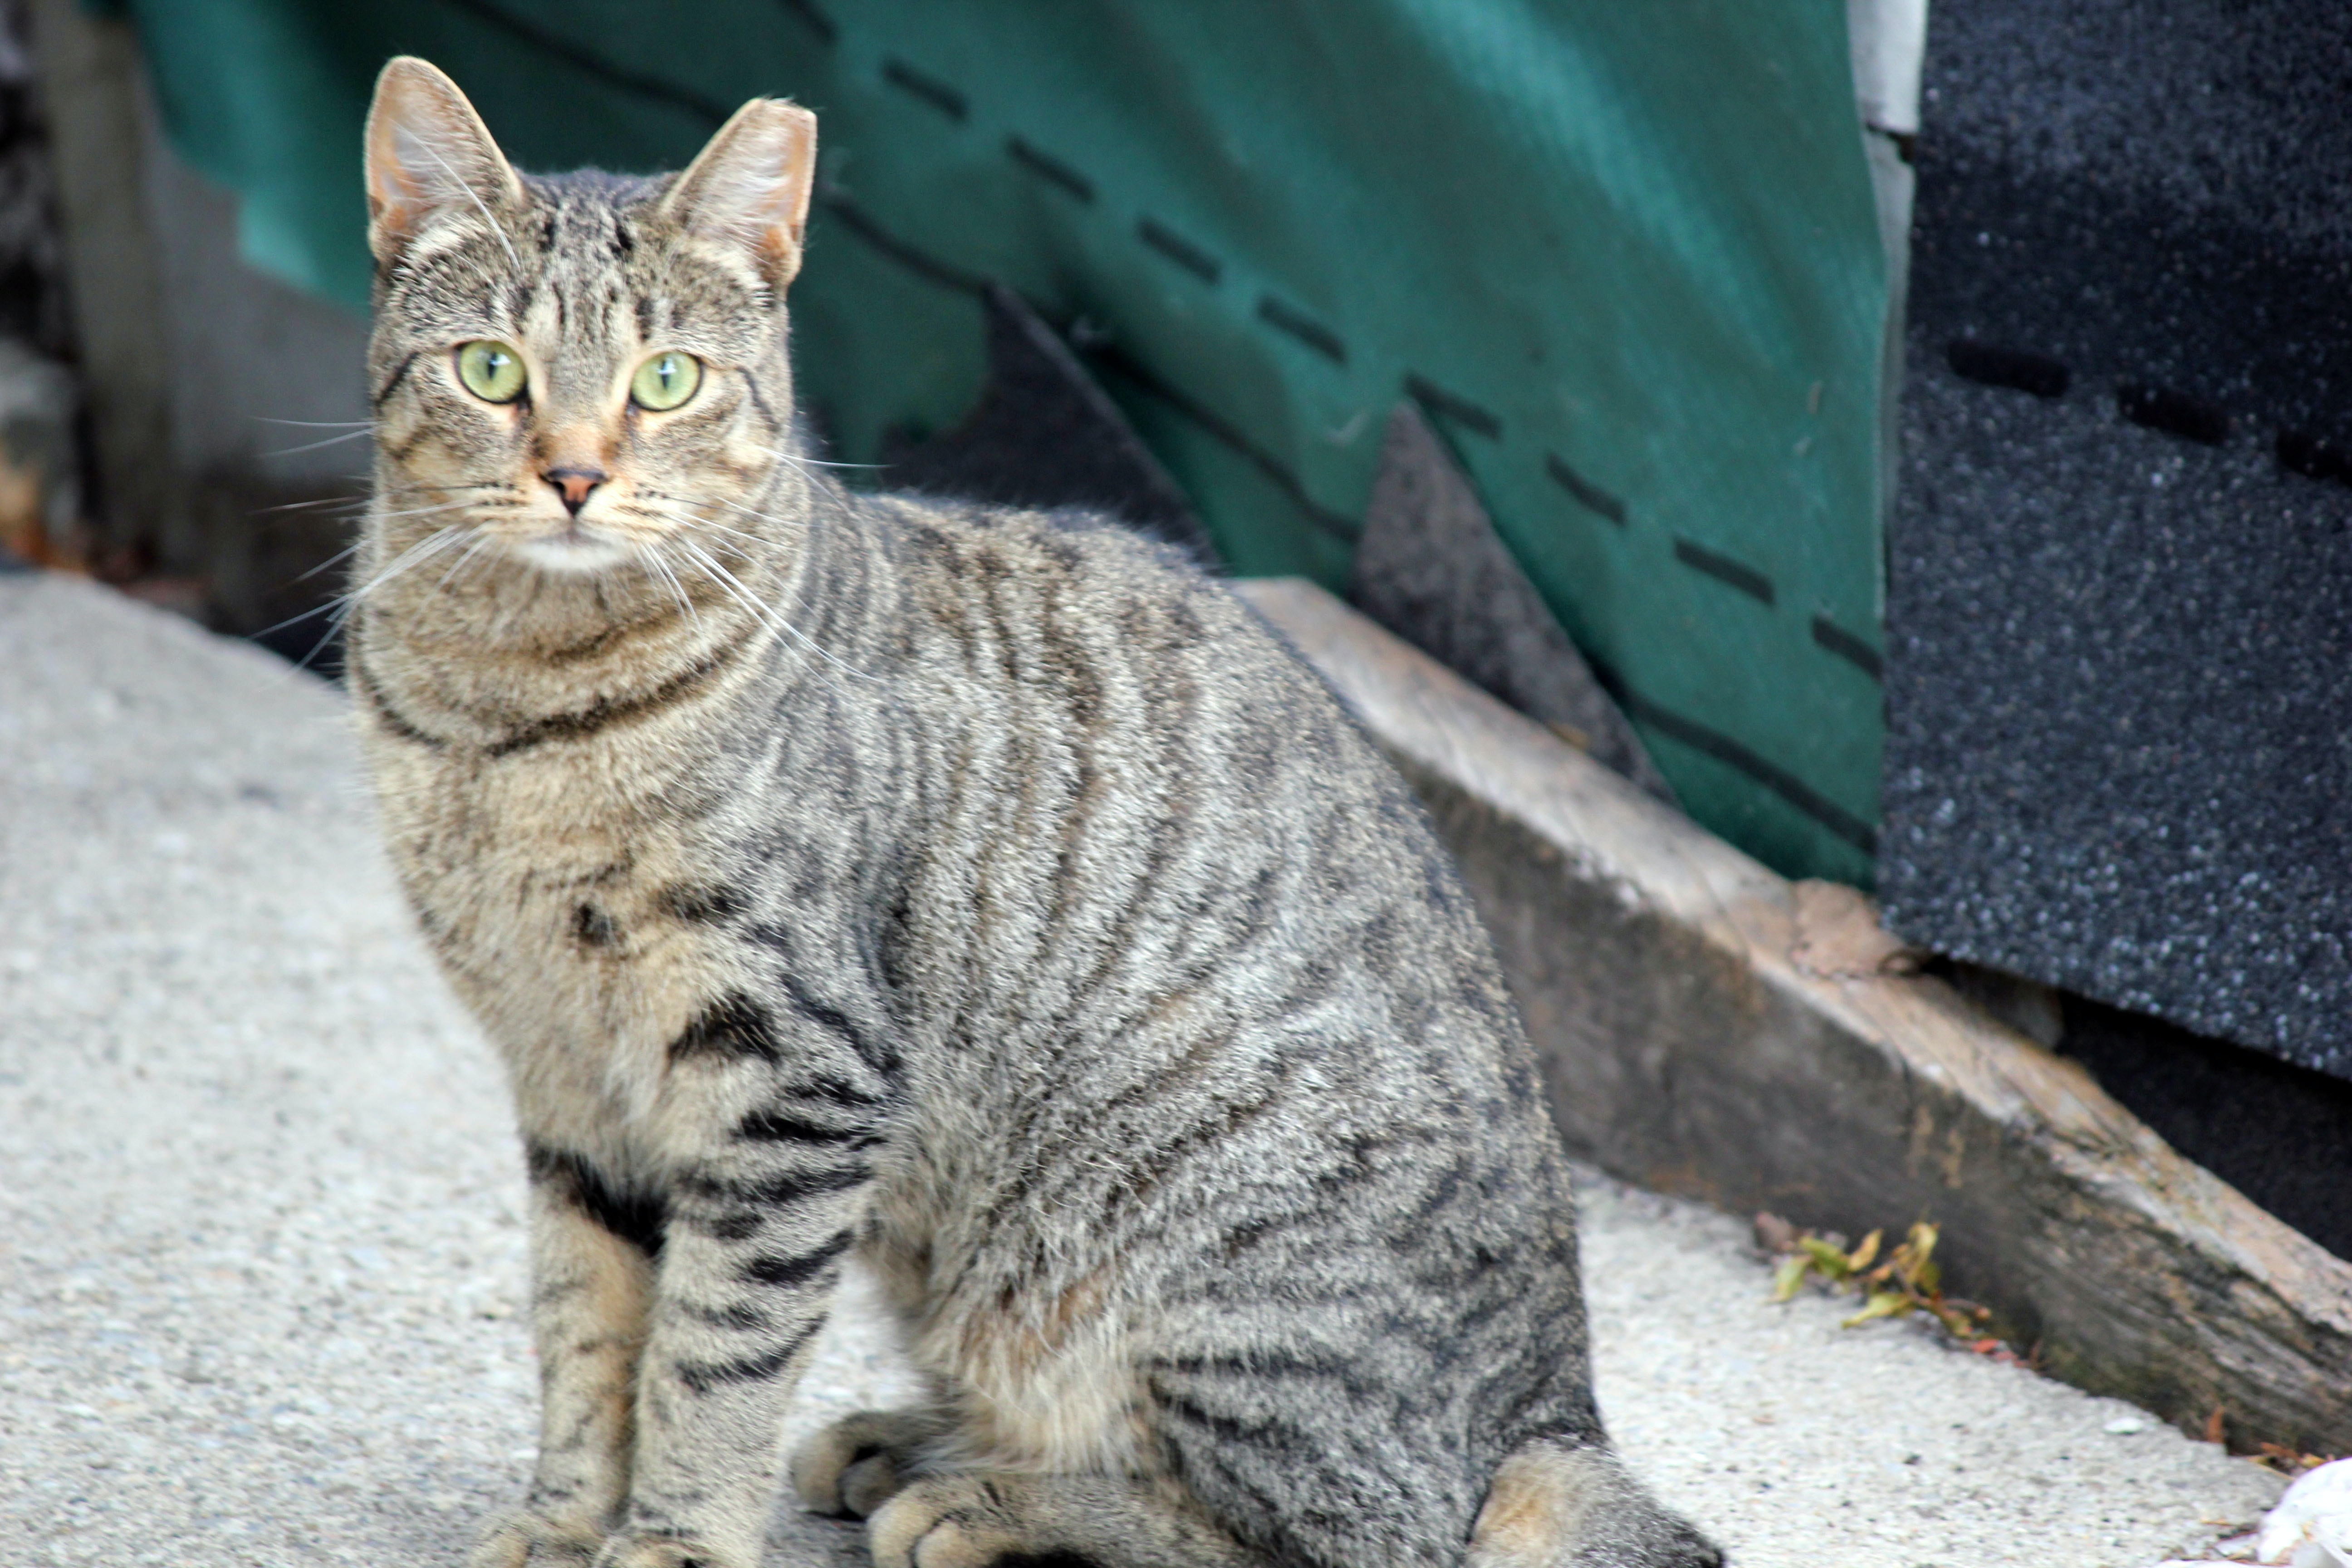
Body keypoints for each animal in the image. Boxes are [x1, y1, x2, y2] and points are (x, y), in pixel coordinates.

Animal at [348, 55, 1721, 1568]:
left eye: (667, 382)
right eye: (492, 369)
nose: (577, 475)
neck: (507, 718)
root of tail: (1561, 1410)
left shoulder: (789, 1075)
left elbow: (715, 1356)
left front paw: (672, 1542)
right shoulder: (569, 1080)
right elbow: (589, 1330)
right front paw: (565, 1520)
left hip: (1199, 1265)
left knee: (1346, 1532)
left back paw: (987, 1496)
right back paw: (916, 1443)